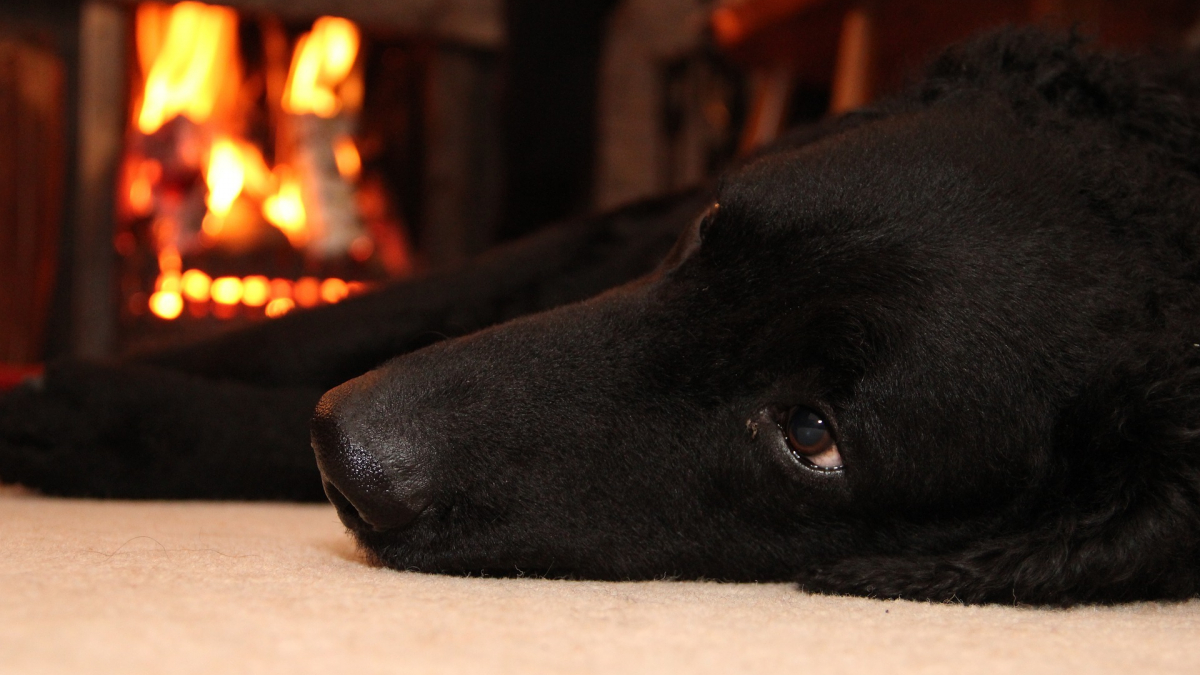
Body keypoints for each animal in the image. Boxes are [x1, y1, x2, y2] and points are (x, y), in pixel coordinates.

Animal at [2, 30, 1200, 605]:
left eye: (812, 434)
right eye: (709, 235)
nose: (350, 449)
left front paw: (103, 418)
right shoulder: (610, 233)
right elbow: (343, 320)